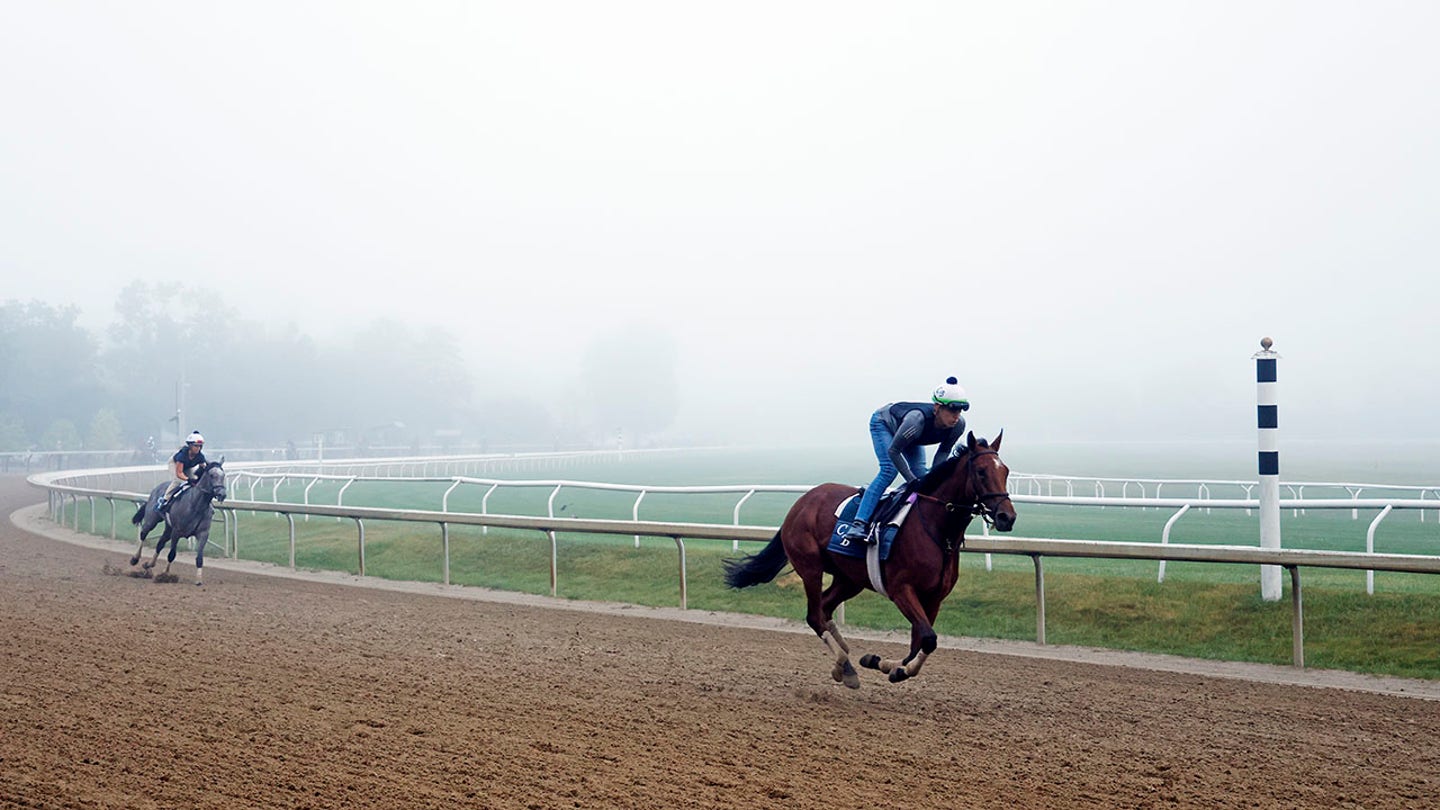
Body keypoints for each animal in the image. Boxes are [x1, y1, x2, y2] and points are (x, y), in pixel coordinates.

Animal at [720, 432, 1013, 683]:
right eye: (981, 471)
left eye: (1006, 471)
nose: (1007, 517)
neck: (936, 529)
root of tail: (802, 501)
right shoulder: (901, 589)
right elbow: (928, 638)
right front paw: (885, 665)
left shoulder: (934, 597)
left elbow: (920, 641)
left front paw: (887, 665)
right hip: (810, 567)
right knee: (814, 615)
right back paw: (844, 664)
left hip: (850, 579)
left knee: (824, 608)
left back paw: (846, 661)